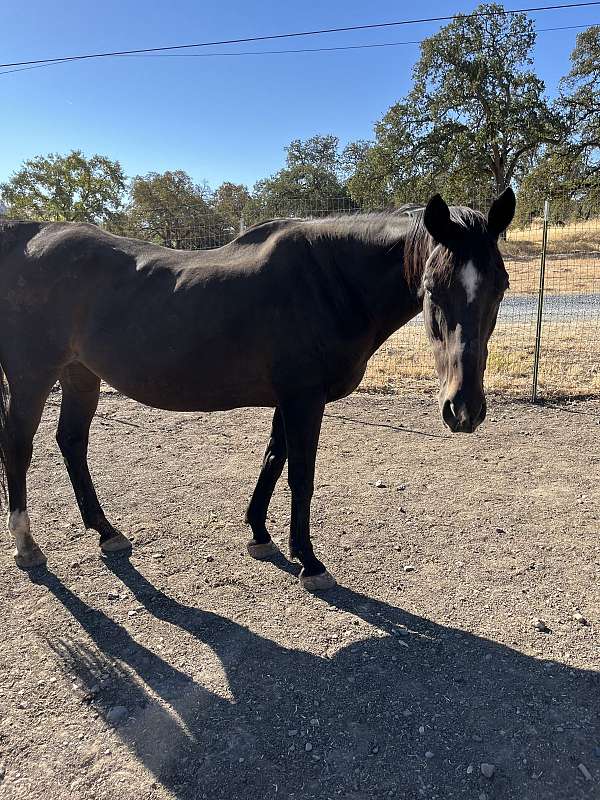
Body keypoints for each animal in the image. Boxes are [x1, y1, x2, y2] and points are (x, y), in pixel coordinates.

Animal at [0, 188, 516, 588]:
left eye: (501, 287)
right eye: (433, 287)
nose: (463, 409)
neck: (329, 279)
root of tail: (23, 237)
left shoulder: (289, 399)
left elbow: (273, 458)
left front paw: (260, 536)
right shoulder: (303, 399)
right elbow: (301, 476)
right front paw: (309, 561)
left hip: (80, 374)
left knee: (71, 442)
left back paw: (105, 531)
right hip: (31, 377)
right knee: (18, 447)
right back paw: (27, 545)